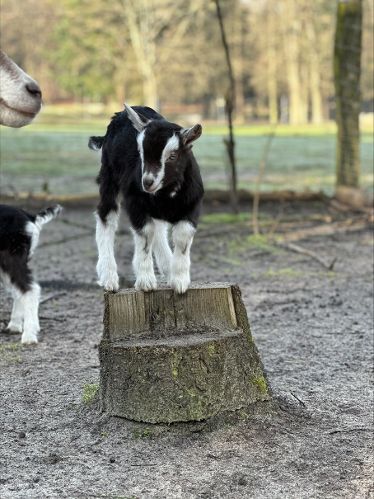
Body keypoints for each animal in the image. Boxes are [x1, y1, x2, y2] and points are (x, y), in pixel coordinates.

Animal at [0, 205, 61, 346]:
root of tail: (29, 216)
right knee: (18, 290)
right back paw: (15, 325)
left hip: (11, 257)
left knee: (30, 289)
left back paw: (29, 335)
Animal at [89, 104, 203, 294]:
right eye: (141, 152)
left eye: (172, 156)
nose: (147, 182)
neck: (166, 192)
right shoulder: (136, 204)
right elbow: (146, 234)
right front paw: (146, 281)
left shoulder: (192, 204)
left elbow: (182, 235)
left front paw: (179, 281)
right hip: (109, 177)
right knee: (106, 216)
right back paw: (108, 277)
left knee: (159, 228)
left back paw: (167, 267)